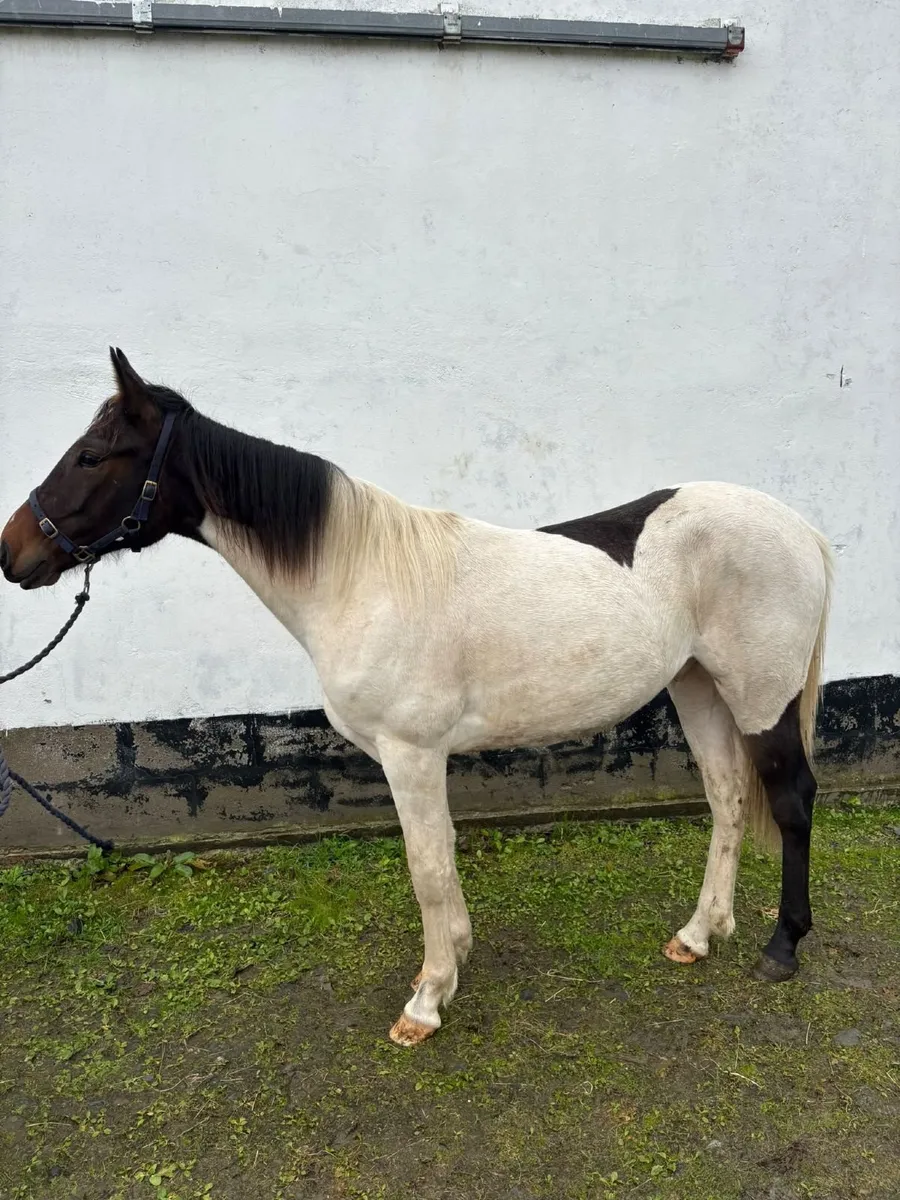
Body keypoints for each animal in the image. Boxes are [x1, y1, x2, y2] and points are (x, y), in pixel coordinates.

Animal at [1, 349, 833, 1047]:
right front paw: (450, 961)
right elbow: (442, 861)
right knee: (727, 798)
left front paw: (427, 1002)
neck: (357, 577)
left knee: (790, 801)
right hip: (699, 688)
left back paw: (781, 947)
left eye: (91, 455)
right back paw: (699, 934)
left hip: (762, 698)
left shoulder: (410, 753)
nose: (13, 552)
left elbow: (426, 866)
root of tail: (802, 530)